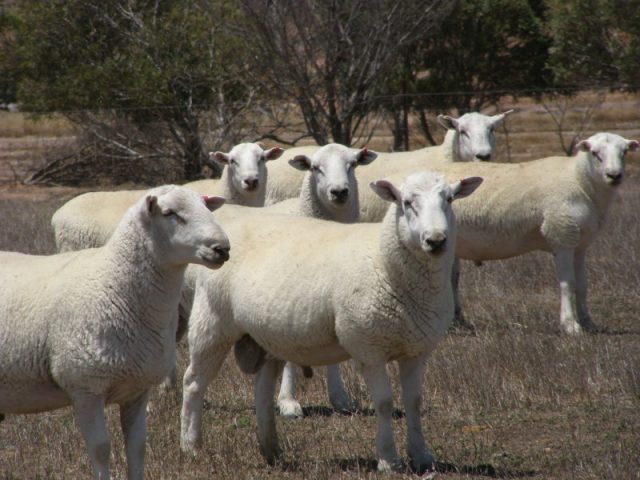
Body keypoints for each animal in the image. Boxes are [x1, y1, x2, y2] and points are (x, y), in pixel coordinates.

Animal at [0, 186, 230, 478]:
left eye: (206, 206)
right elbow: (101, 448)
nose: (222, 248)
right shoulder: (85, 387)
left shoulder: (137, 389)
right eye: (169, 213)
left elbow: (138, 446)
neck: (114, 281)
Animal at [179, 171, 480, 470]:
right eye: (406, 202)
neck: (385, 262)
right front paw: (388, 459)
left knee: (262, 390)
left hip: (264, 336)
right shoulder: (367, 347)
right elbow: (384, 403)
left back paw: (271, 450)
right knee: (193, 382)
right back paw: (191, 445)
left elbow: (414, 402)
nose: (436, 240)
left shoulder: (416, 349)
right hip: (212, 321)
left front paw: (421, 456)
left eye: (450, 199)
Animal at [380, 131, 636, 334]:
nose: (615, 175)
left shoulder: (579, 243)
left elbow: (582, 284)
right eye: (595, 153)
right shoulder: (561, 234)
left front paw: (589, 323)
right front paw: (570, 325)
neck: (581, 182)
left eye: (624, 152)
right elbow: (568, 283)